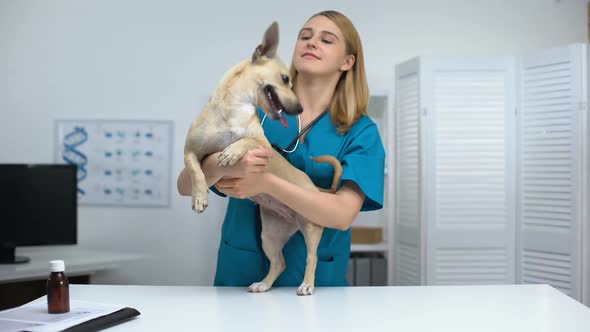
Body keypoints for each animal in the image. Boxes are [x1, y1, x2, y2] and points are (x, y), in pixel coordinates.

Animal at [184, 21, 342, 296]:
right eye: (286, 79)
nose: (299, 108)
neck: (233, 109)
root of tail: (313, 189)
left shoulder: (264, 147)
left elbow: (247, 141)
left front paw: (232, 152)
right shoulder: (190, 151)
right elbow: (196, 171)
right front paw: (199, 197)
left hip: (311, 227)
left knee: (312, 258)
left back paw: (307, 285)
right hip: (269, 236)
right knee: (279, 263)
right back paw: (264, 284)